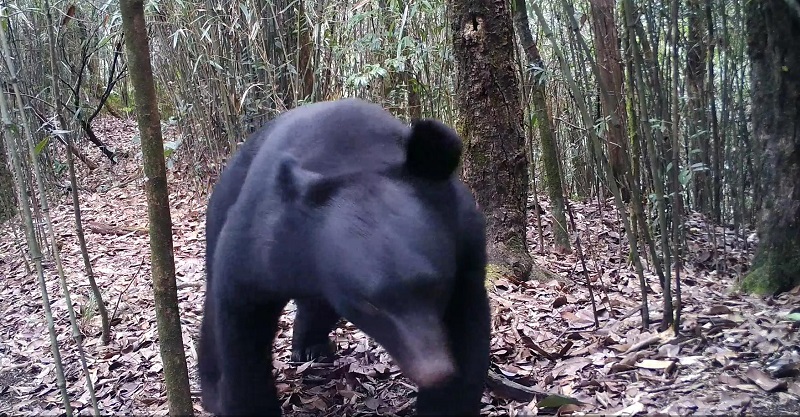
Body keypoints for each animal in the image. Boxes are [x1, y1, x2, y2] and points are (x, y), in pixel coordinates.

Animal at [198, 98, 490, 416]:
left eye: (437, 286)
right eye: (370, 303)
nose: (435, 371)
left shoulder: (465, 251)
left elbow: (466, 331)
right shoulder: (263, 243)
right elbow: (240, 319)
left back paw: (310, 347)